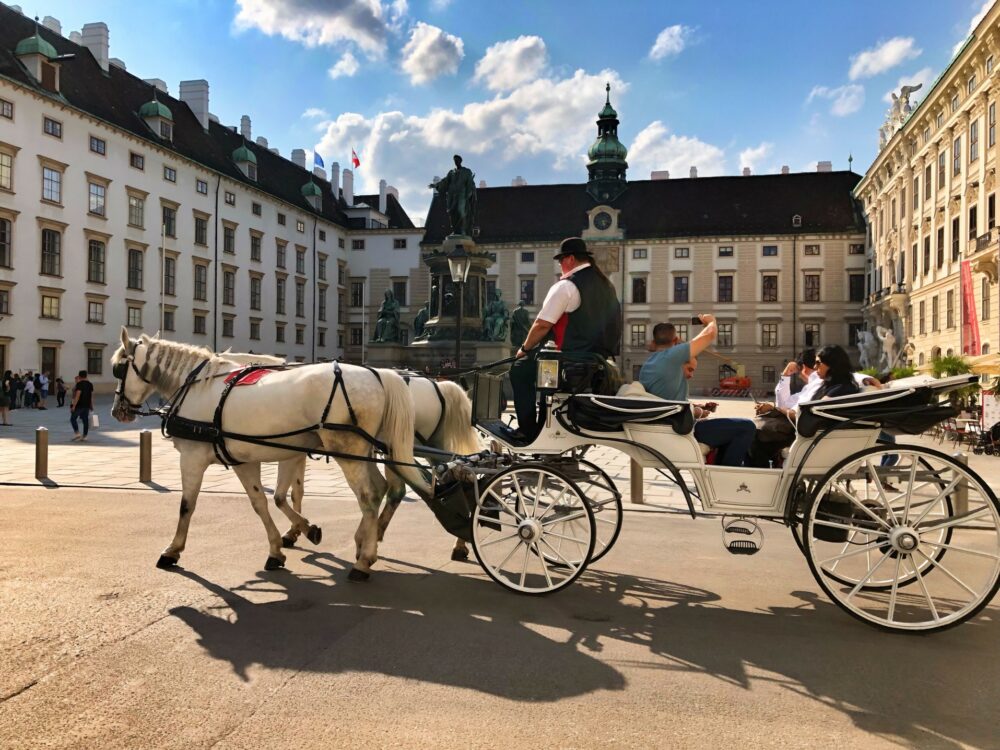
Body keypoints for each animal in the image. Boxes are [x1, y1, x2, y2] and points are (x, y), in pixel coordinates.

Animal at [109, 328, 430, 580]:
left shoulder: (192, 458)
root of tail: (379, 373)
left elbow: (187, 506)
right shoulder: (243, 460)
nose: (117, 411)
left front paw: (173, 550)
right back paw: (364, 544)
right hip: (362, 452)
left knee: (368, 496)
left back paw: (363, 561)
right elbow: (261, 503)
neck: (197, 387)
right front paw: (279, 547)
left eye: (119, 369)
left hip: (348, 452)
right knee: (381, 488)